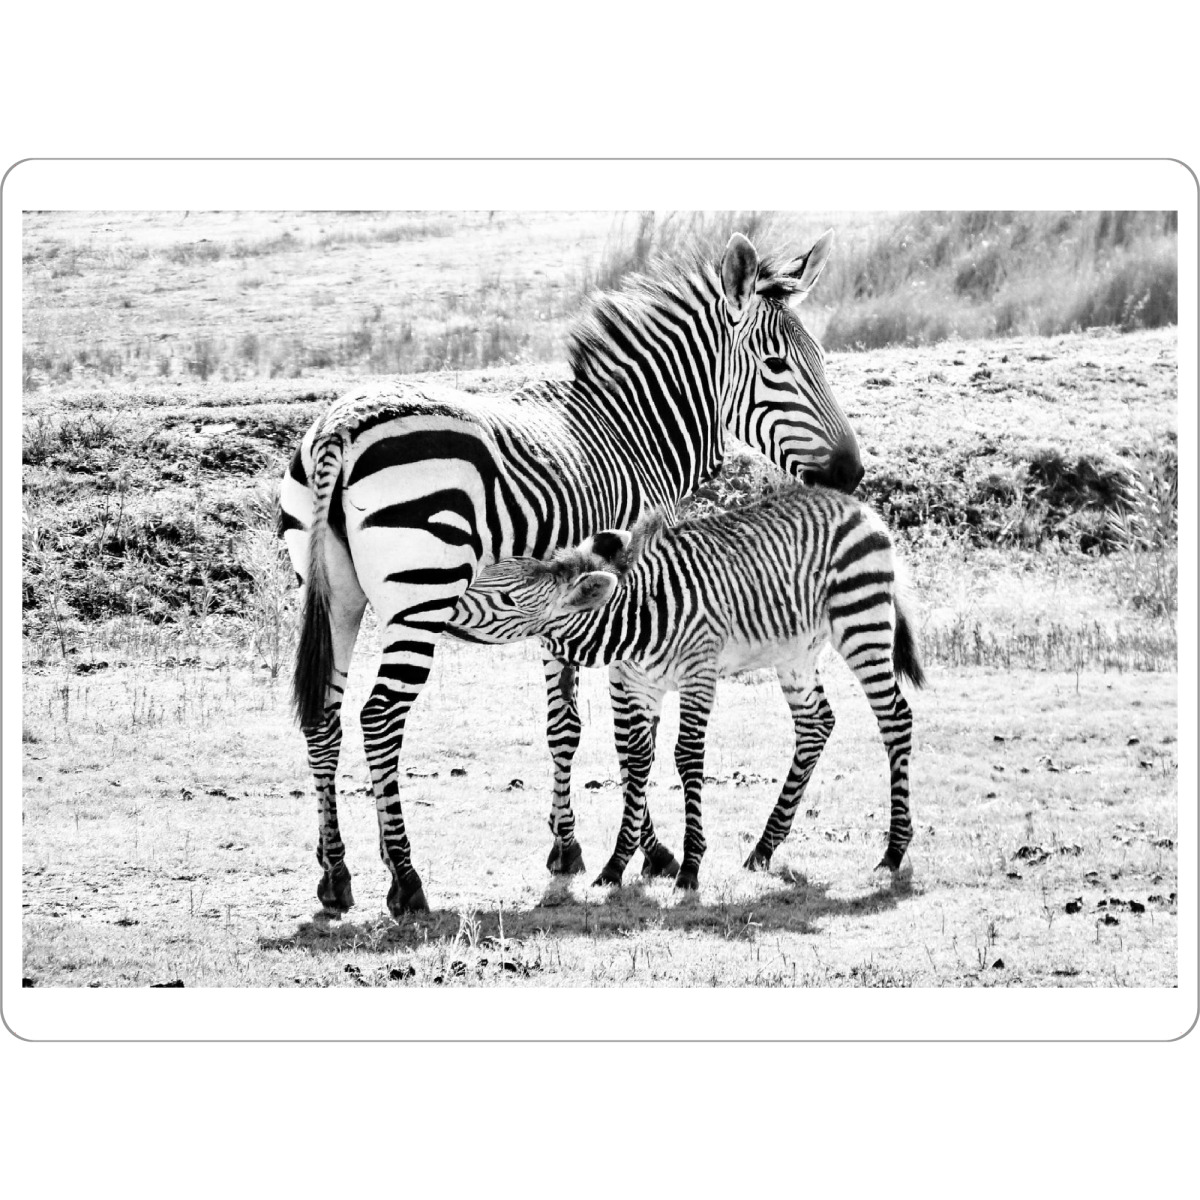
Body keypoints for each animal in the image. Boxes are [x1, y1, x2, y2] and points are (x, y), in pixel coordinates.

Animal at [279, 230, 863, 918]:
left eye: (821, 358)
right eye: (777, 367)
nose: (852, 473)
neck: (634, 434)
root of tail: (341, 427)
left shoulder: (573, 605)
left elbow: (567, 727)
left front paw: (577, 847)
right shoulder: (630, 590)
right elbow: (630, 733)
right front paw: (642, 854)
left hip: (337, 599)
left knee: (324, 717)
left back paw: (336, 875)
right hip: (421, 594)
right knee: (378, 718)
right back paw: (405, 878)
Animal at [454, 484, 925, 890]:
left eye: (508, 601)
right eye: (486, 576)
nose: (446, 602)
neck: (636, 616)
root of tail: (856, 505)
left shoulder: (699, 673)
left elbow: (687, 757)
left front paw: (691, 865)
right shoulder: (640, 685)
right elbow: (637, 760)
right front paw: (617, 864)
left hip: (860, 620)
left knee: (895, 718)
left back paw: (893, 851)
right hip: (796, 652)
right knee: (816, 725)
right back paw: (764, 848)